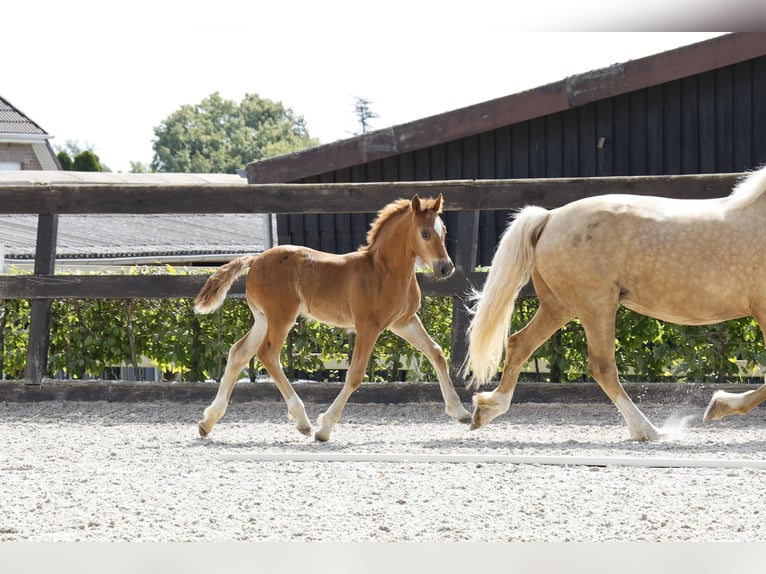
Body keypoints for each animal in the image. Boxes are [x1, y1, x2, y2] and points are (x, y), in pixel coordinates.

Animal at [195, 196, 472, 444]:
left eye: (444, 231)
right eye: (424, 233)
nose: (445, 268)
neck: (384, 271)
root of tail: (255, 259)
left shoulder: (404, 321)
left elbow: (436, 352)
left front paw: (461, 412)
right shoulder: (368, 326)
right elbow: (356, 374)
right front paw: (325, 428)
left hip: (263, 319)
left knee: (239, 352)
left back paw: (208, 421)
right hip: (281, 317)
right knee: (268, 354)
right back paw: (303, 421)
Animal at [464, 164, 766, 444]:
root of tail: (550, 217)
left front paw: (720, 404)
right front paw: (719, 405)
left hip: (559, 306)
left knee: (519, 343)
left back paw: (487, 409)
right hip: (596, 305)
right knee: (602, 366)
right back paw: (647, 430)